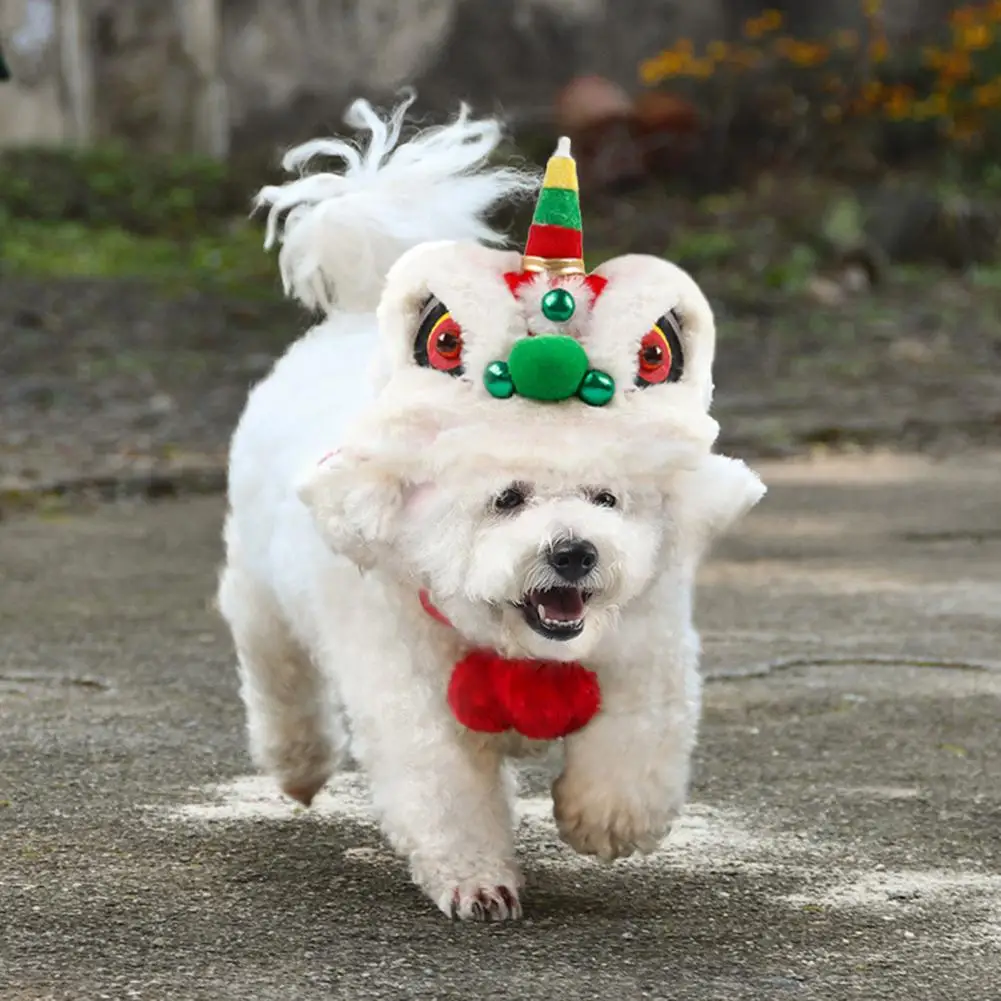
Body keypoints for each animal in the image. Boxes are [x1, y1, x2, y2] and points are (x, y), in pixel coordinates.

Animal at [219, 97, 764, 916]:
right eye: (507, 498)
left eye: (607, 497)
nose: (574, 551)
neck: (520, 650)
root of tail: (360, 311)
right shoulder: (407, 689)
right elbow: (443, 789)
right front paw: (478, 881)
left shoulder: (647, 650)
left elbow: (638, 743)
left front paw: (607, 818)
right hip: (262, 598)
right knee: (277, 677)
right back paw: (298, 762)